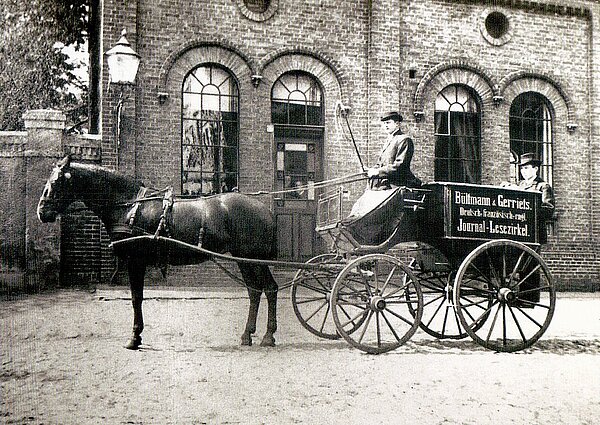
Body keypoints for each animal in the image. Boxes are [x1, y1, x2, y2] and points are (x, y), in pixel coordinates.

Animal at [37, 156, 278, 348]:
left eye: (56, 181)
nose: (41, 211)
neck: (129, 206)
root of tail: (264, 209)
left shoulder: (135, 260)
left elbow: (136, 297)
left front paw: (134, 337)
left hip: (252, 259)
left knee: (270, 289)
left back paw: (268, 335)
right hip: (245, 260)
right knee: (255, 291)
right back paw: (248, 335)